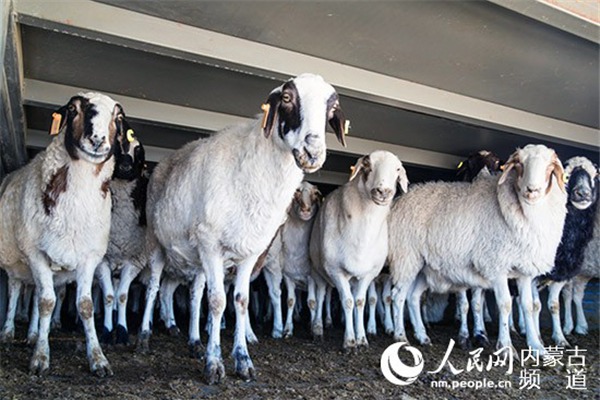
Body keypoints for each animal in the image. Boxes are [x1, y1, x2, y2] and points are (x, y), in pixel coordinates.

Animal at [0, 92, 125, 376]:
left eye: (118, 118)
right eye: (73, 109)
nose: (98, 140)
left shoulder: (89, 257)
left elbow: (85, 306)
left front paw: (98, 359)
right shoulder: (35, 252)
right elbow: (47, 302)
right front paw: (40, 359)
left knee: (33, 292)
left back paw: (32, 334)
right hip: (16, 260)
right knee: (15, 289)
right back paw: (8, 331)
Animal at [262, 181, 322, 338]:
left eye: (315, 193)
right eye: (296, 191)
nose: (306, 210)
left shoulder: (311, 277)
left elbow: (312, 302)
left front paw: (312, 327)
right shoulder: (288, 276)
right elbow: (290, 301)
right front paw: (287, 329)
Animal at [310, 150, 408, 350]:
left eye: (397, 169)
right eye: (368, 166)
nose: (383, 192)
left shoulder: (369, 274)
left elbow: (360, 302)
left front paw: (361, 338)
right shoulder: (335, 270)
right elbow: (347, 302)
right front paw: (350, 341)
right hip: (317, 271)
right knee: (321, 295)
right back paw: (317, 328)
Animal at [390, 145, 568, 356]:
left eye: (549, 167)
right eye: (519, 164)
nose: (532, 189)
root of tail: (403, 197)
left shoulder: (524, 272)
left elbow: (528, 307)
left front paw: (538, 348)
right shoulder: (496, 265)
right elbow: (504, 304)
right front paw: (506, 348)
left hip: (424, 267)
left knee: (413, 297)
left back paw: (422, 336)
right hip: (406, 257)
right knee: (397, 296)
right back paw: (401, 336)